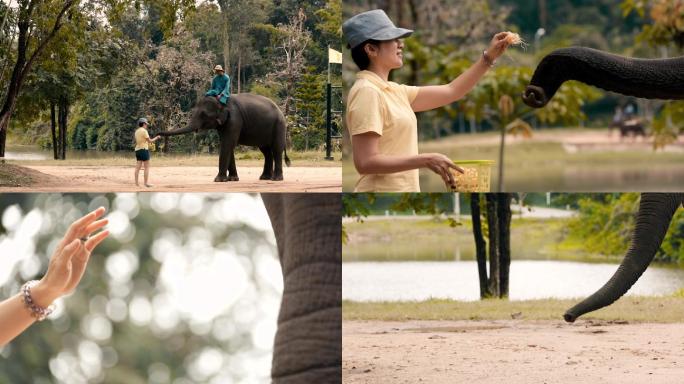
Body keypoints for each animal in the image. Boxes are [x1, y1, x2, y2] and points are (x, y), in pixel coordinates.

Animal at [157, 94, 288, 182]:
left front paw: (218, 180)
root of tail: (280, 110)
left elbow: (228, 144)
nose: (157, 133)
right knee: (266, 151)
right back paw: (265, 178)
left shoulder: (234, 120)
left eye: (204, 115)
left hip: (279, 125)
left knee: (276, 149)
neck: (221, 102)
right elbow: (228, 145)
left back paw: (276, 179)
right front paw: (232, 179)